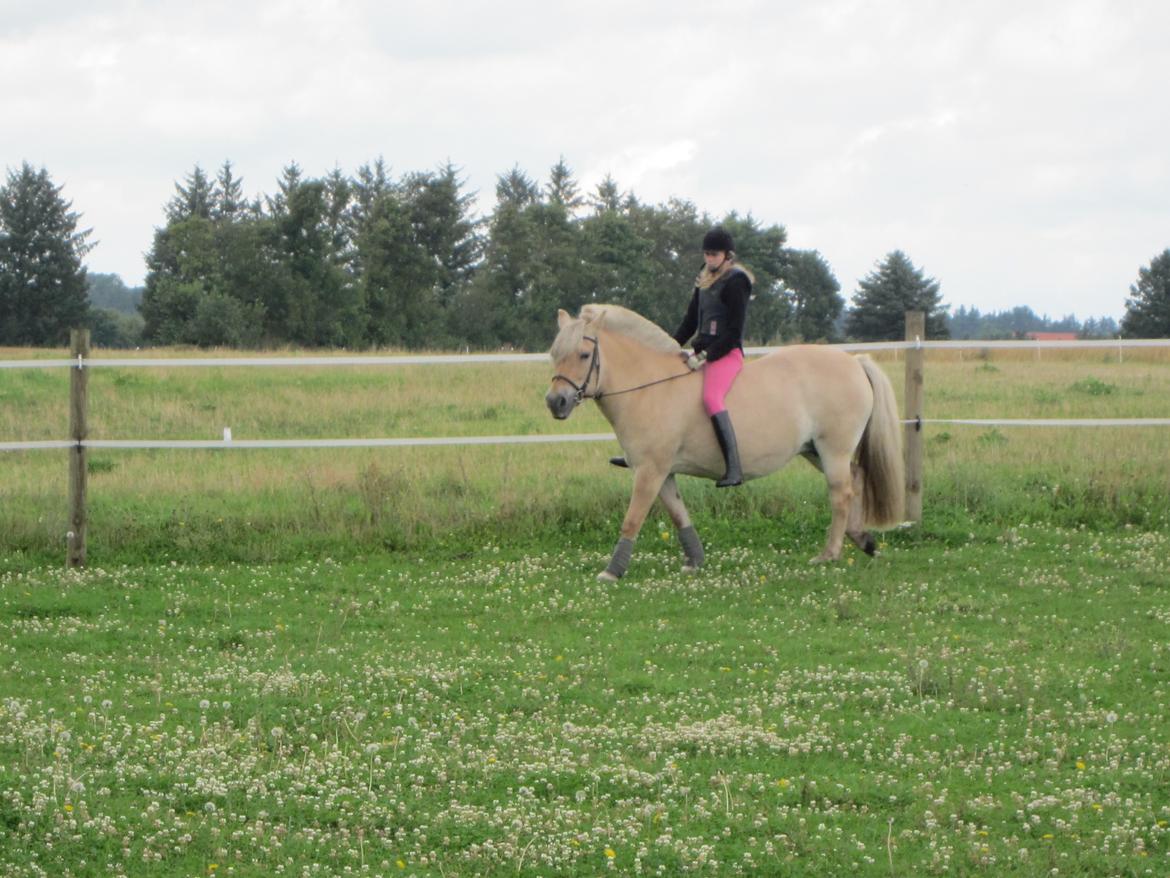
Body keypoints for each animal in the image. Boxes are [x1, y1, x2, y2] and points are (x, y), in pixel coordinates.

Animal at [545, 306, 903, 580]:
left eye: (584, 354)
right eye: (554, 354)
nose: (555, 402)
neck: (652, 387)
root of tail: (854, 361)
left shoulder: (650, 471)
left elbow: (632, 518)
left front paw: (612, 571)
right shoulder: (664, 473)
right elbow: (679, 514)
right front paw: (694, 561)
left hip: (832, 449)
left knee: (840, 493)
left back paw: (830, 553)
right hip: (814, 451)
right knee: (856, 478)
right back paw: (863, 540)